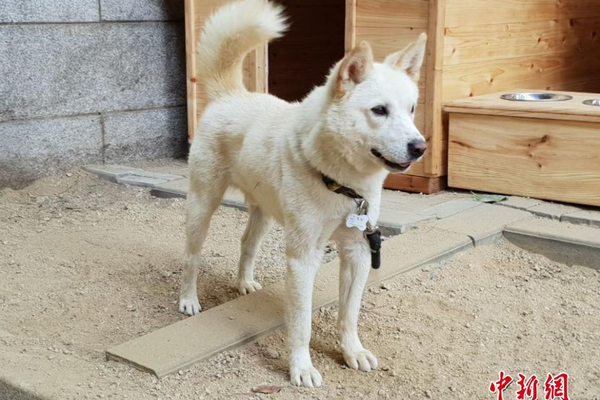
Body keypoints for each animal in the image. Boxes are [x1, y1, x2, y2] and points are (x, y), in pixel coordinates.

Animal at [178, 0, 426, 388]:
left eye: (411, 109)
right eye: (379, 111)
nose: (420, 147)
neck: (343, 184)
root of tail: (231, 96)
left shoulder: (357, 251)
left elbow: (349, 313)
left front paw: (352, 351)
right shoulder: (303, 258)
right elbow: (301, 323)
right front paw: (302, 368)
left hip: (263, 212)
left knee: (246, 244)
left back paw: (245, 283)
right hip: (202, 206)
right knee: (191, 257)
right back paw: (188, 300)